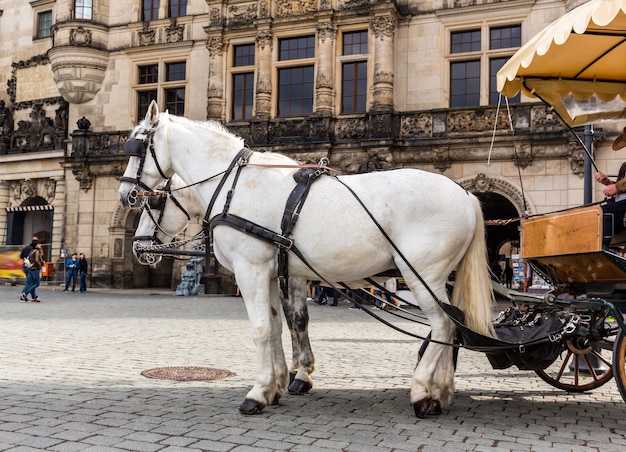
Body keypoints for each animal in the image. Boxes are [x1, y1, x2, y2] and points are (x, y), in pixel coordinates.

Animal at [133, 175, 316, 394]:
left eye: (155, 203)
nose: (137, 247)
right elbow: (289, 320)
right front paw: (296, 370)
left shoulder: (292, 275)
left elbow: (298, 319)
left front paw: (302, 373)